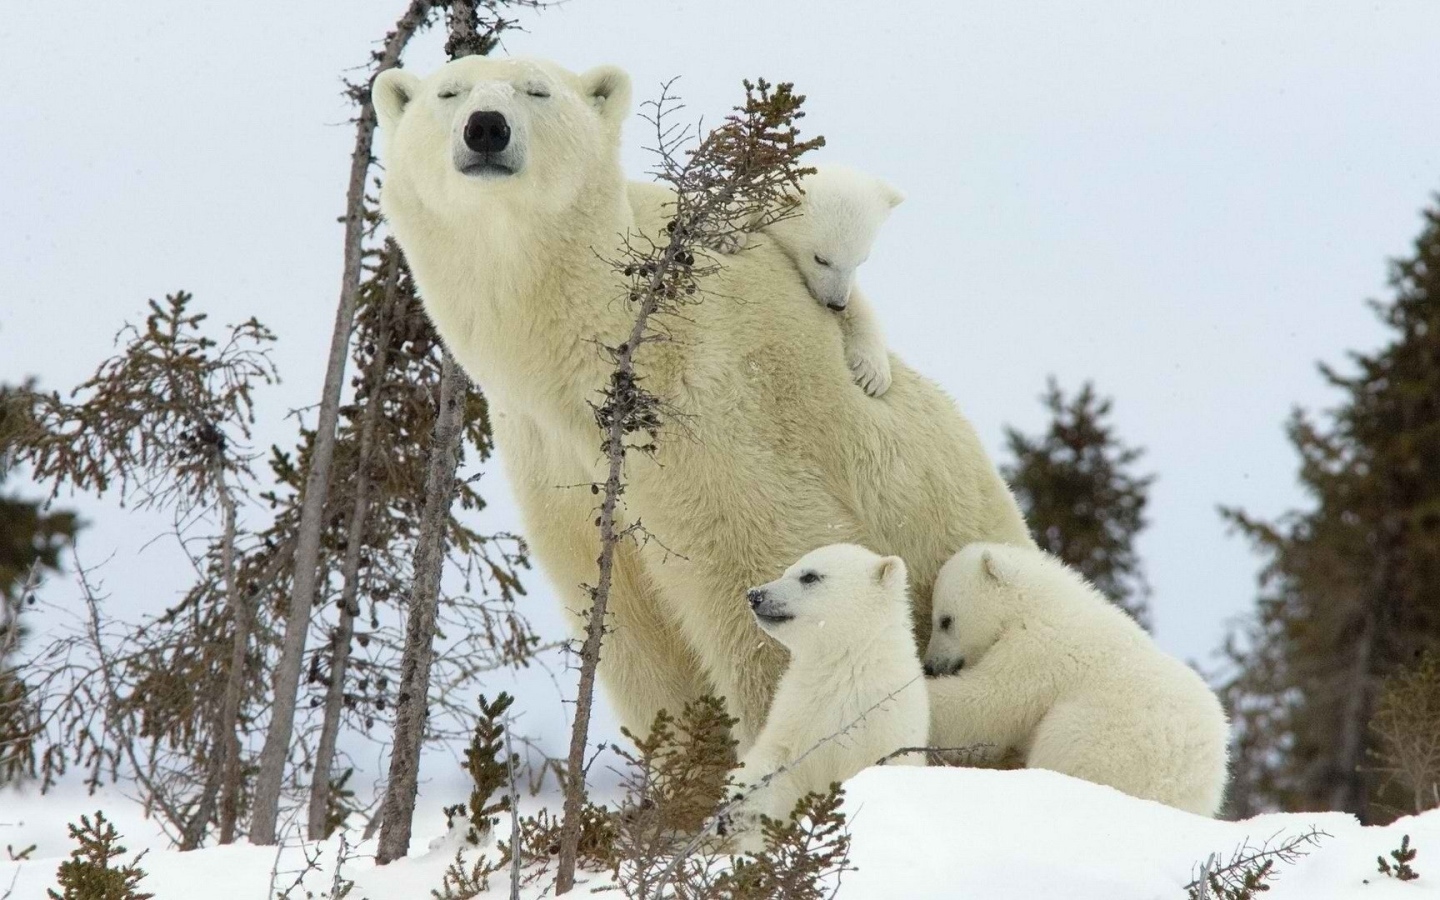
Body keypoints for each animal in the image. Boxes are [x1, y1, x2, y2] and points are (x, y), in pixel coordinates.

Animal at [720, 165, 898, 397]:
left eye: (861, 261)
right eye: (820, 259)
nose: (836, 304)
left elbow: (860, 307)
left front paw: (873, 375)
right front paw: (725, 233)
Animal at [737, 535, 927, 840]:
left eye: (810, 576)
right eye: (788, 569)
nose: (755, 595)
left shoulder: (886, 726)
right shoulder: (798, 713)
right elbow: (776, 762)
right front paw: (740, 806)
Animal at [921, 541, 1226, 812]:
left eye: (945, 620)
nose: (930, 665)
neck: (1037, 603)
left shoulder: (1038, 651)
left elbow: (987, 704)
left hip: (1101, 740)